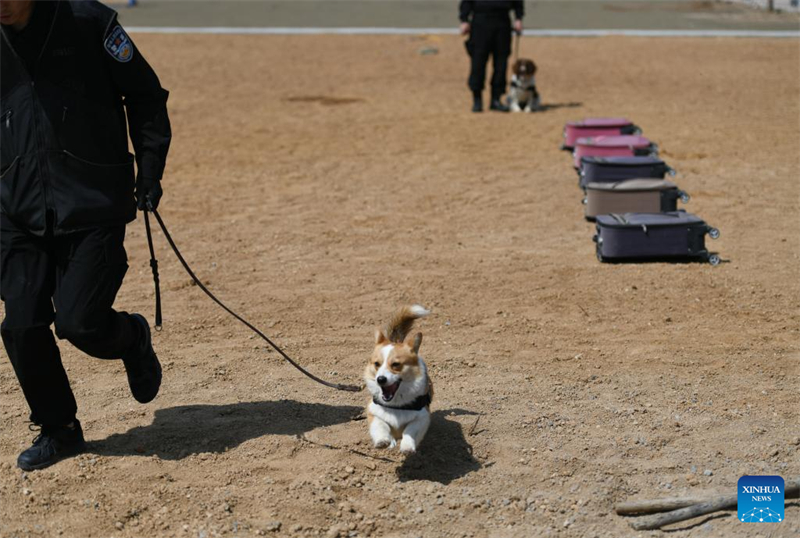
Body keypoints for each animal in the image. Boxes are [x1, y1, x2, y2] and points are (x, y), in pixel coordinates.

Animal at [366, 304, 434, 450]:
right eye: (376, 364)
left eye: (396, 364)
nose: (380, 379)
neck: (396, 405)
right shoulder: (373, 412)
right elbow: (380, 425)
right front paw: (383, 440)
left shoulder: (422, 416)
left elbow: (410, 430)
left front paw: (407, 446)